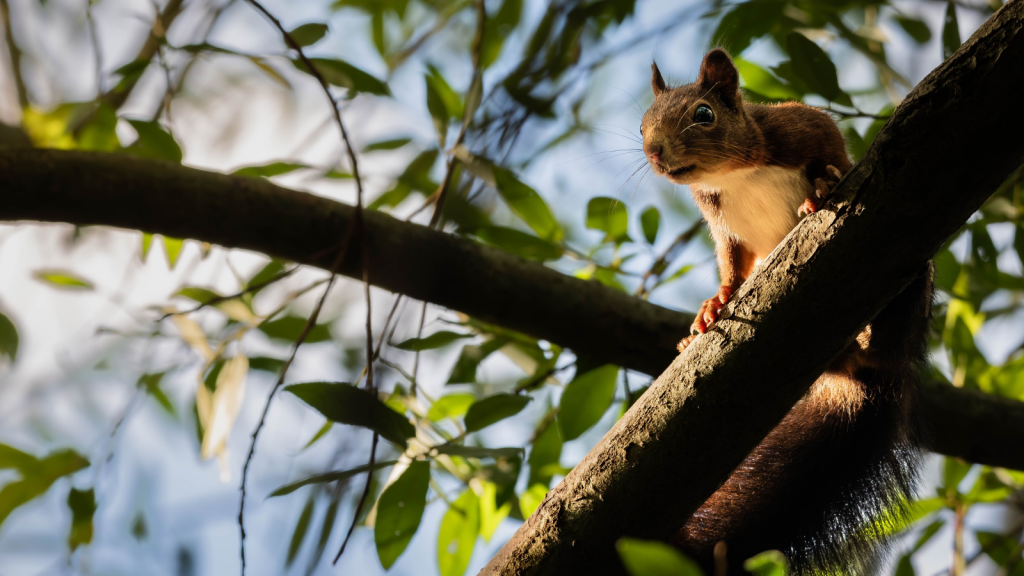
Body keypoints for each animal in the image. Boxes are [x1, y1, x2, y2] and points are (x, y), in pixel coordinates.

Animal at [643, 48, 933, 569]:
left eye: (703, 114)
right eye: (642, 125)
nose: (654, 153)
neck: (732, 175)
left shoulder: (802, 127)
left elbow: (833, 151)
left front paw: (824, 185)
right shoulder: (720, 221)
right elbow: (731, 263)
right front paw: (714, 305)